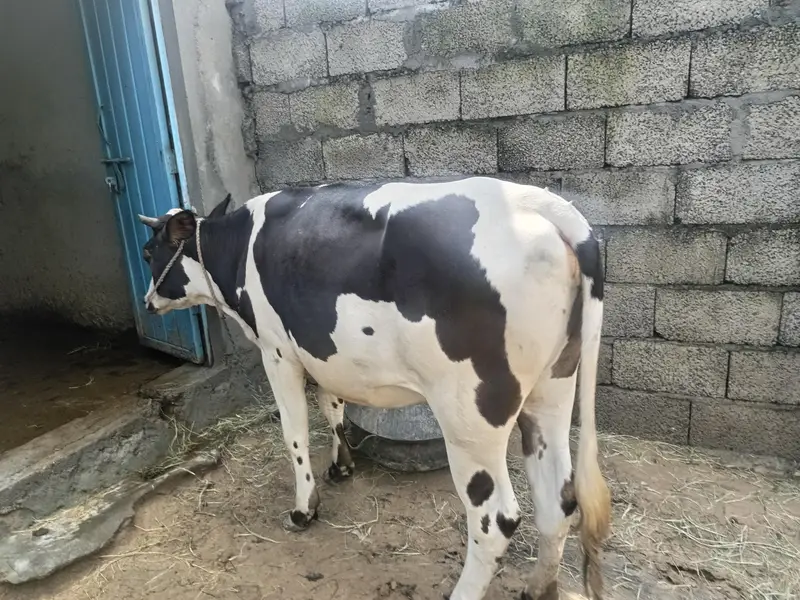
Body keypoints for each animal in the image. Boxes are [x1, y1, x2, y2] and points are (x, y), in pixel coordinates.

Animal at [138, 176, 611, 600]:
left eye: (146, 252)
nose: (146, 302)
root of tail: (544, 206)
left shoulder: (277, 351)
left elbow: (295, 432)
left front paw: (304, 507)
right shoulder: (322, 350)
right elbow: (331, 405)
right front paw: (341, 466)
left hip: (471, 414)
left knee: (495, 520)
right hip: (553, 388)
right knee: (558, 499)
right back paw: (539, 588)